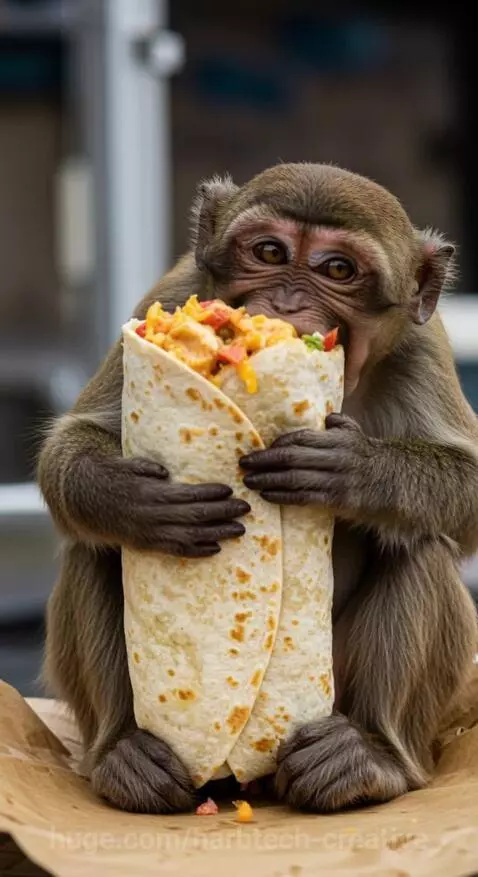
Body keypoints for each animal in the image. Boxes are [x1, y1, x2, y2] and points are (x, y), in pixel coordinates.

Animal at [37, 162, 478, 815]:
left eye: (337, 270)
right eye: (269, 252)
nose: (287, 303)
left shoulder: (422, 350)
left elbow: (470, 500)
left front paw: (355, 471)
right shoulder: (173, 293)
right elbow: (70, 447)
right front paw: (130, 499)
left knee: (420, 544)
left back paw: (371, 756)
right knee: (94, 547)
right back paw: (123, 752)